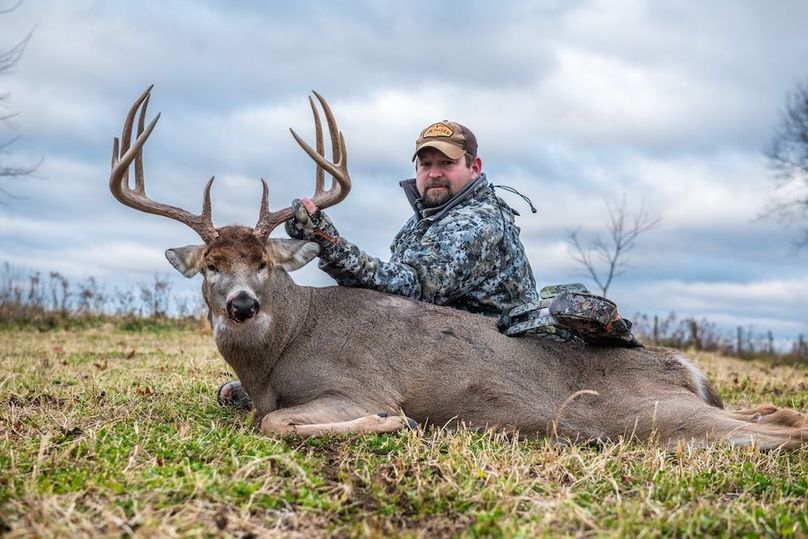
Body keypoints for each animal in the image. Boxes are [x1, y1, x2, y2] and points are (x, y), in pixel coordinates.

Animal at [109, 86, 808, 449]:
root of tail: (684, 366)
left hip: (642, 415)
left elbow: (275, 422)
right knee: (774, 413)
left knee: (781, 429)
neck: (278, 352)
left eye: (264, 262)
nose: (241, 305)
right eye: (212, 265)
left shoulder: (357, 383)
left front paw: (393, 422)